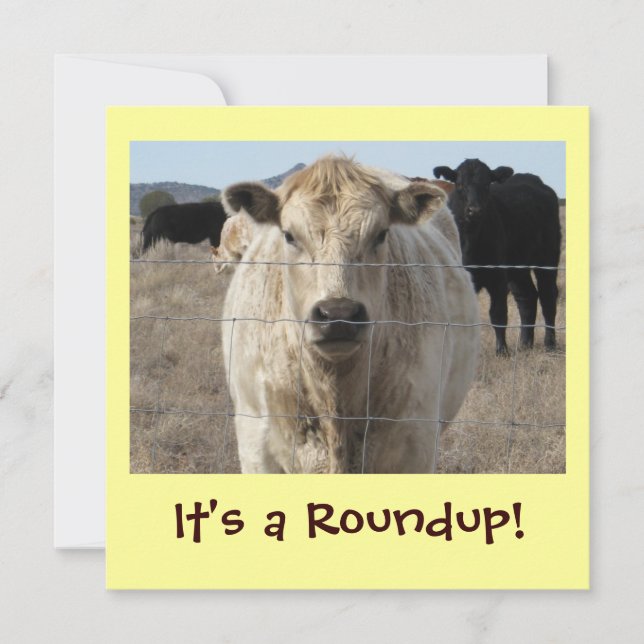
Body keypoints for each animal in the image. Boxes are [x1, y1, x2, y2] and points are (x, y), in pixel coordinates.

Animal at [433, 159, 561, 354]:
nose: (474, 210)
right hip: (518, 268)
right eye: (460, 184)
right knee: (527, 297)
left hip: (547, 258)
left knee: (548, 296)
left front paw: (502, 350)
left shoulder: (498, 277)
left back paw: (550, 344)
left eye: (487, 184)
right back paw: (525, 343)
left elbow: (498, 314)